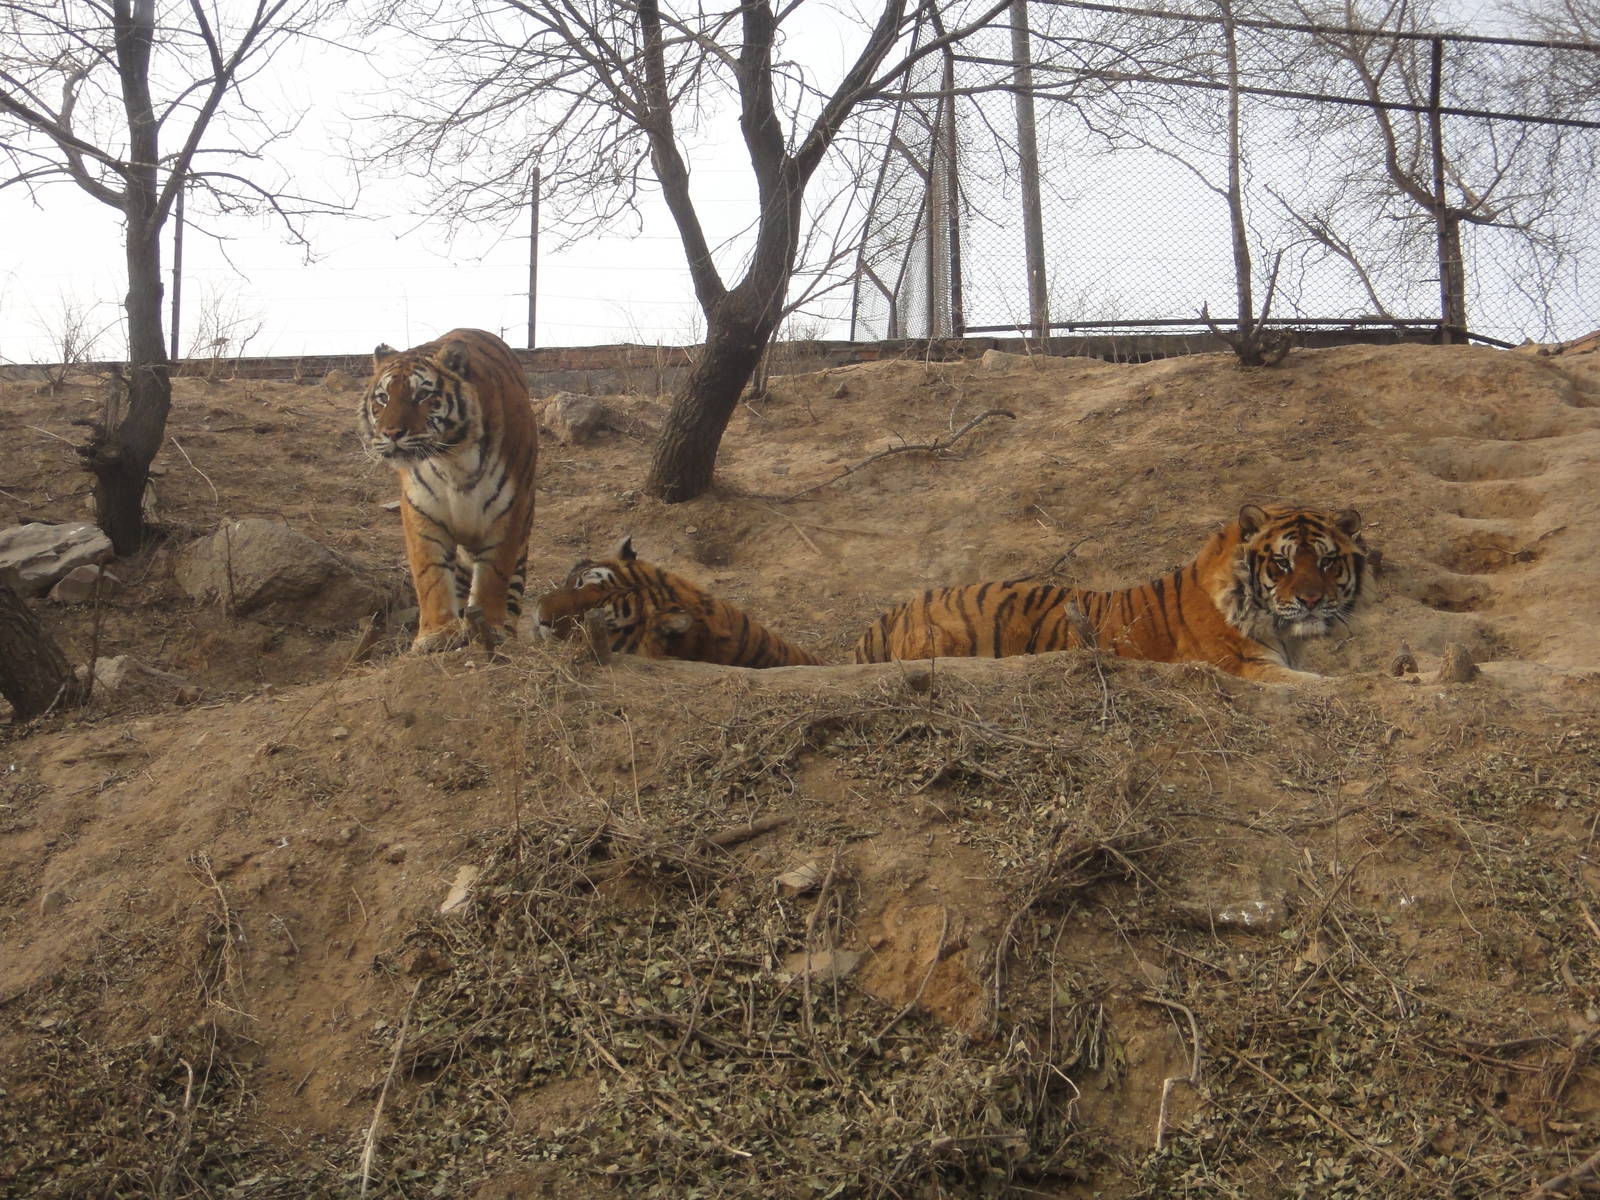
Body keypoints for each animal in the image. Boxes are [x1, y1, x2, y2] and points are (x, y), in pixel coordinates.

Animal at [361, 329, 538, 651]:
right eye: (383, 397)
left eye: (422, 395)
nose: (391, 433)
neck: (452, 458)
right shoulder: (421, 511)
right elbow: (431, 575)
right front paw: (436, 633)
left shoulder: (508, 511)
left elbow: (494, 573)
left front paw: (491, 628)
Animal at [852, 504, 1366, 683]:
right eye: (1281, 563)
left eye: (1327, 562)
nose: (1312, 601)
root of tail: (886, 615)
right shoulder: (1248, 667)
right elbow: (1327, 685)